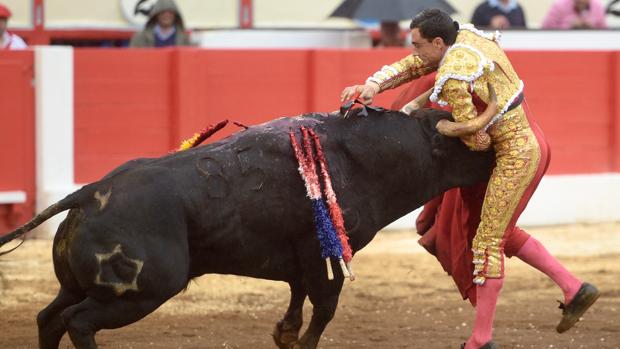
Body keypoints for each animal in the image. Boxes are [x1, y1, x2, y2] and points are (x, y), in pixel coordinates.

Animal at [0, 107, 494, 346]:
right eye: (474, 143)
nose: (501, 154)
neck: (363, 158)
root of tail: (88, 193)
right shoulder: (326, 255)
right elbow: (324, 308)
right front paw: (296, 340)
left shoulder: (297, 257)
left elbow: (298, 297)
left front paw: (284, 333)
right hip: (140, 293)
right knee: (77, 321)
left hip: (79, 286)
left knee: (49, 317)